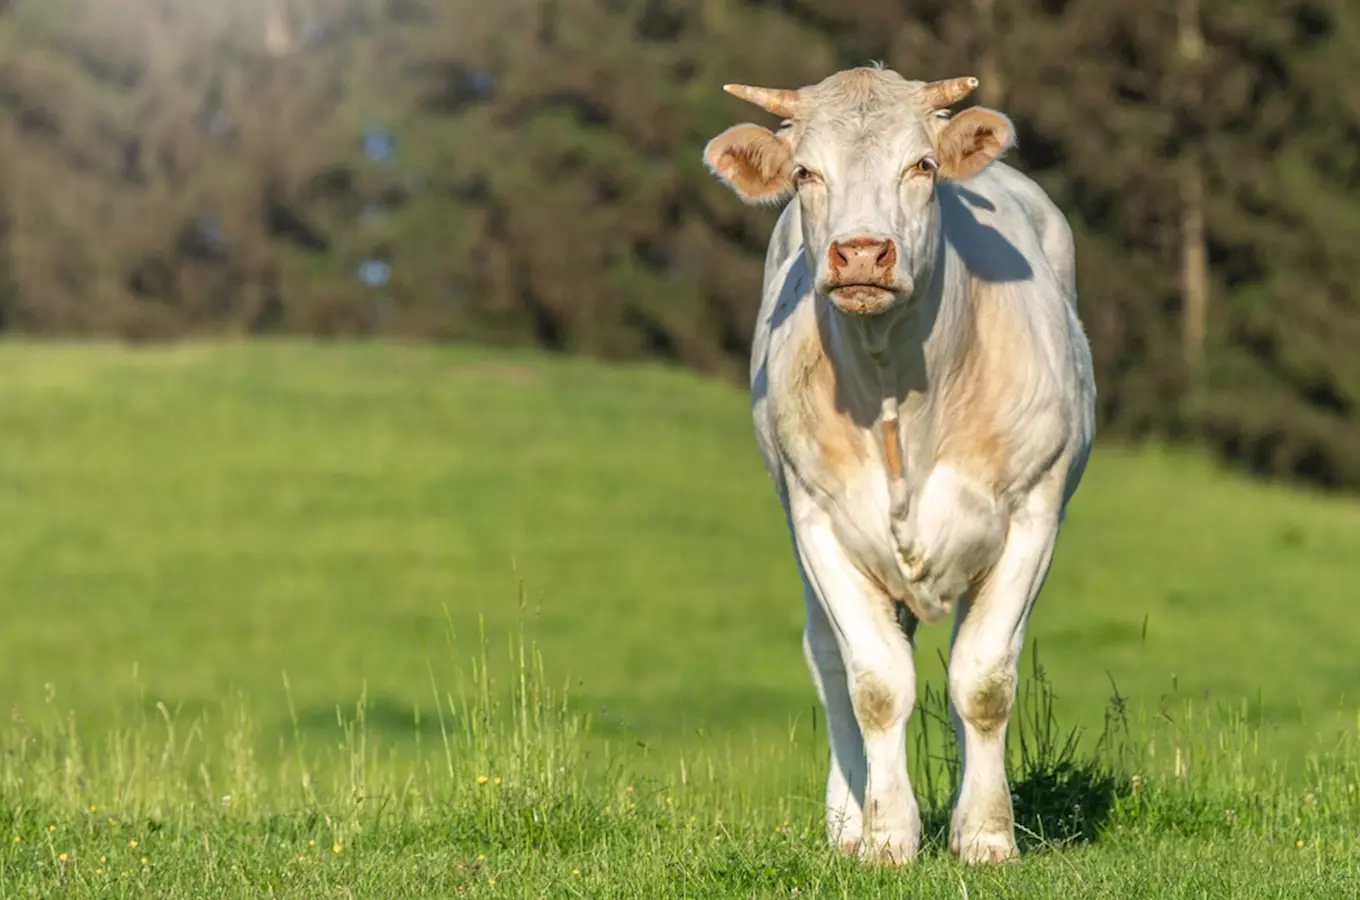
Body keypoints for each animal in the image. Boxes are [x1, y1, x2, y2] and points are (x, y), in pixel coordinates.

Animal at [701, 65, 1093, 870]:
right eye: (805, 173)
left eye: (922, 165)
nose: (859, 254)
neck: (897, 392)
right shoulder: (818, 521)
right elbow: (875, 684)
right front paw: (884, 837)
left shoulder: (1034, 513)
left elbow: (984, 681)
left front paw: (985, 834)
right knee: (831, 660)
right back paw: (846, 821)